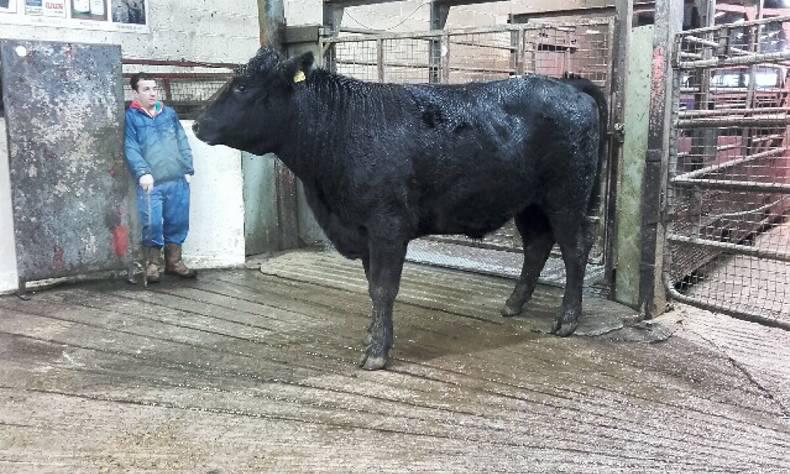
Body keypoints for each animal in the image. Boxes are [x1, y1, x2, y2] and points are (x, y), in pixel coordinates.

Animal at [193, 48, 607, 370]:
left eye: (242, 87)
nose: (197, 123)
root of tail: (569, 84)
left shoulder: (387, 226)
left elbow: (382, 288)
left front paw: (377, 351)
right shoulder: (361, 231)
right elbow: (371, 286)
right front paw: (372, 334)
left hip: (566, 197)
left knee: (574, 248)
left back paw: (566, 320)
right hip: (529, 202)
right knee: (537, 245)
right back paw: (514, 304)